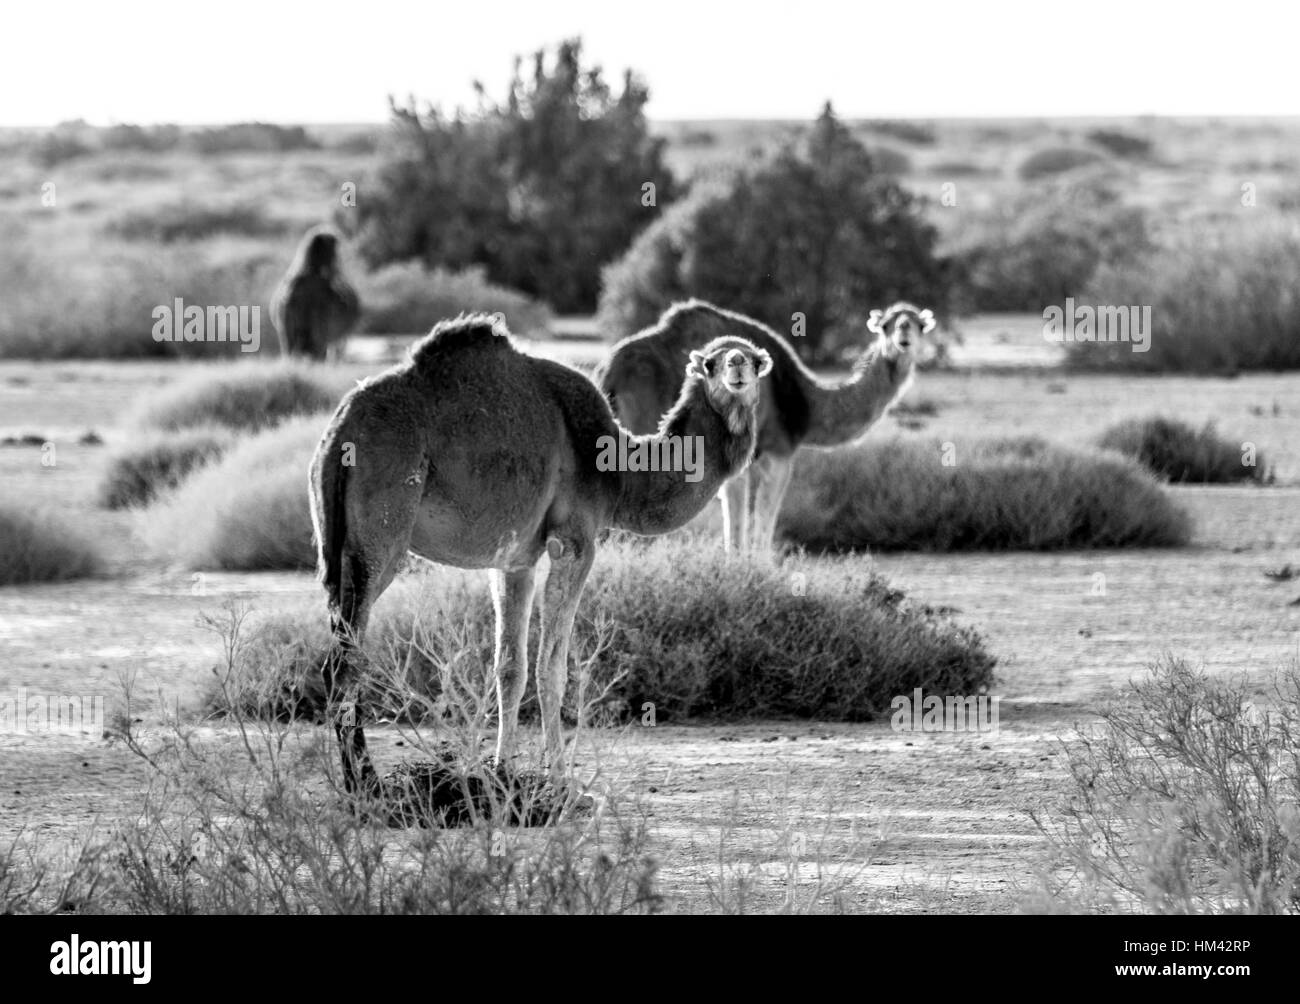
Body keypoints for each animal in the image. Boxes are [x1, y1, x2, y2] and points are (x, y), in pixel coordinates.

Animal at [306, 312, 769, 790]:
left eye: (755, 360)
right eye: (711, 364)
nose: (736, 365)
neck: (620, 473)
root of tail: (338, 434)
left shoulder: (514, 559)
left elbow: (509, 666)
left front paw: (502, 772)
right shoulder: (574, 540)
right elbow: (552, 666)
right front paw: (560, 778)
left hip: (335, 547)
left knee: (338, 649)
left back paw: (361, 779)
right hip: (380, 534)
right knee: (345, 661)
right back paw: (365, 782)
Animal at [598, 297, 935, 554]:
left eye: (917, 324)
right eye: (886, 324)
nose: (904, 333)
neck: (806, 406)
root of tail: (610, 373)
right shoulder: (777, 453)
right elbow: (758, 526)